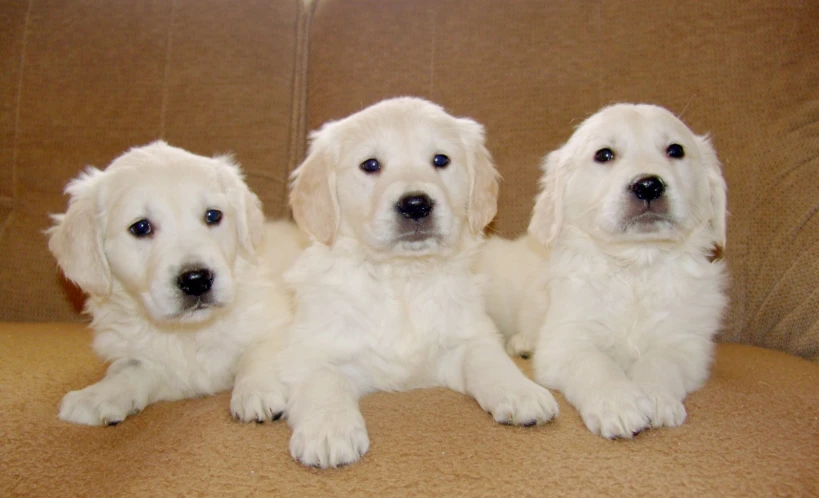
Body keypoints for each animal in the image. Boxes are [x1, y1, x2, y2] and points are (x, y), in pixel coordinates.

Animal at [48, 141, 298, 428]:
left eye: (213, 215)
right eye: (141, 227)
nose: (196, 280)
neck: (189, 331)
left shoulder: (274, 321)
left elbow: (260, 350)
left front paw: (258, 391)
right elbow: (131, 368)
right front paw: (97, 395)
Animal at [235, 96, 556, 466]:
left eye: (441, 160)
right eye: (370, 164)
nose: (416, 204)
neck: (401, 278)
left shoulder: (468, 335)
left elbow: (488, 360)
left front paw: (521, 391)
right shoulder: (312, 350)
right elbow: (324, 382)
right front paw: (328, 430)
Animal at [484, 103, 728, 438]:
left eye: (676, 150)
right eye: (604, 155)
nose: (648, 185)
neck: (636, 267)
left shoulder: (685, 343)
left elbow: (661, 362)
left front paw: (653, 397)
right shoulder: (568, 341)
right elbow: (597, 365)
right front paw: (618, 404)